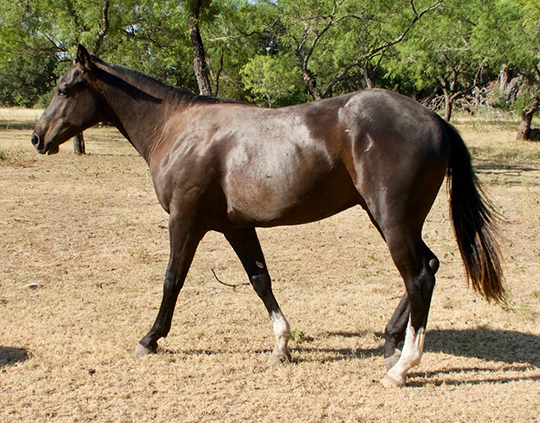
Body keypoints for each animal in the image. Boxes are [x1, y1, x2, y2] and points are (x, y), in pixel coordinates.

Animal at [30, 45, 506, 388]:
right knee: (429, 265)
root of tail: (436, 120)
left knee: (419, 275)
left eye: (64, 89)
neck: (177, 128)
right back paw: (390, 340)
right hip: (388, 219)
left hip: (392, 220)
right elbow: (260, 280)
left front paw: (151, 338)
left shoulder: (185, 221)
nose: (37, 137)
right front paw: (281, 345)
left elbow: (172, 280)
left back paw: (402, 367)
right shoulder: (236, 227)